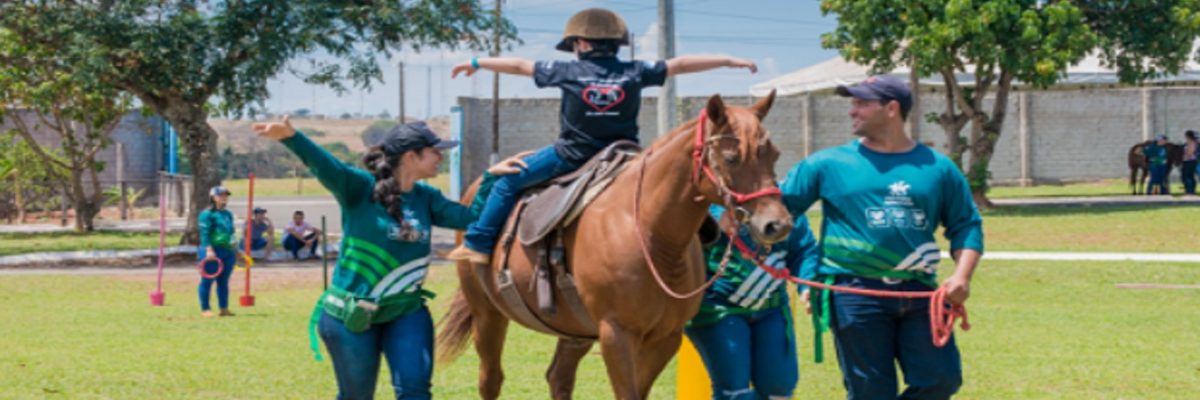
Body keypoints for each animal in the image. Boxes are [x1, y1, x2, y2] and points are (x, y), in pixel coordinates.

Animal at [436, 92, 792, 400]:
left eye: (774, 154)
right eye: (731, 158)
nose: (777, 224)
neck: (649, 233)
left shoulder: (666, 338)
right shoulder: (616, 335)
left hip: (574, 330)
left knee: (558, 377)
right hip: (487, 315)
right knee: (491, 379)